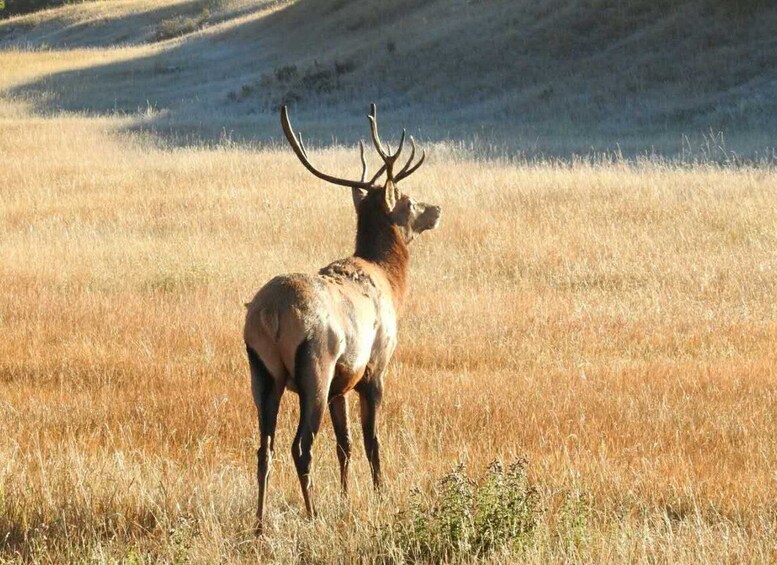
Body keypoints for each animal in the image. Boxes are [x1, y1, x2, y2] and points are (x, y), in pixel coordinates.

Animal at [244, 103, 436, 532]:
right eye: (408, 200)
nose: (436, 209)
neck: (390, 281)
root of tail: (269, 314)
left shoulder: (341, 385)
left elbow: (344, 445)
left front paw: (347, 498)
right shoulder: (374, 367)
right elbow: (371, 441)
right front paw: (381, 494)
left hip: (262, 372)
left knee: (264, 447)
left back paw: (260, 524)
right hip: (315, 364)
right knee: (301, 446)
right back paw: (311, 514)